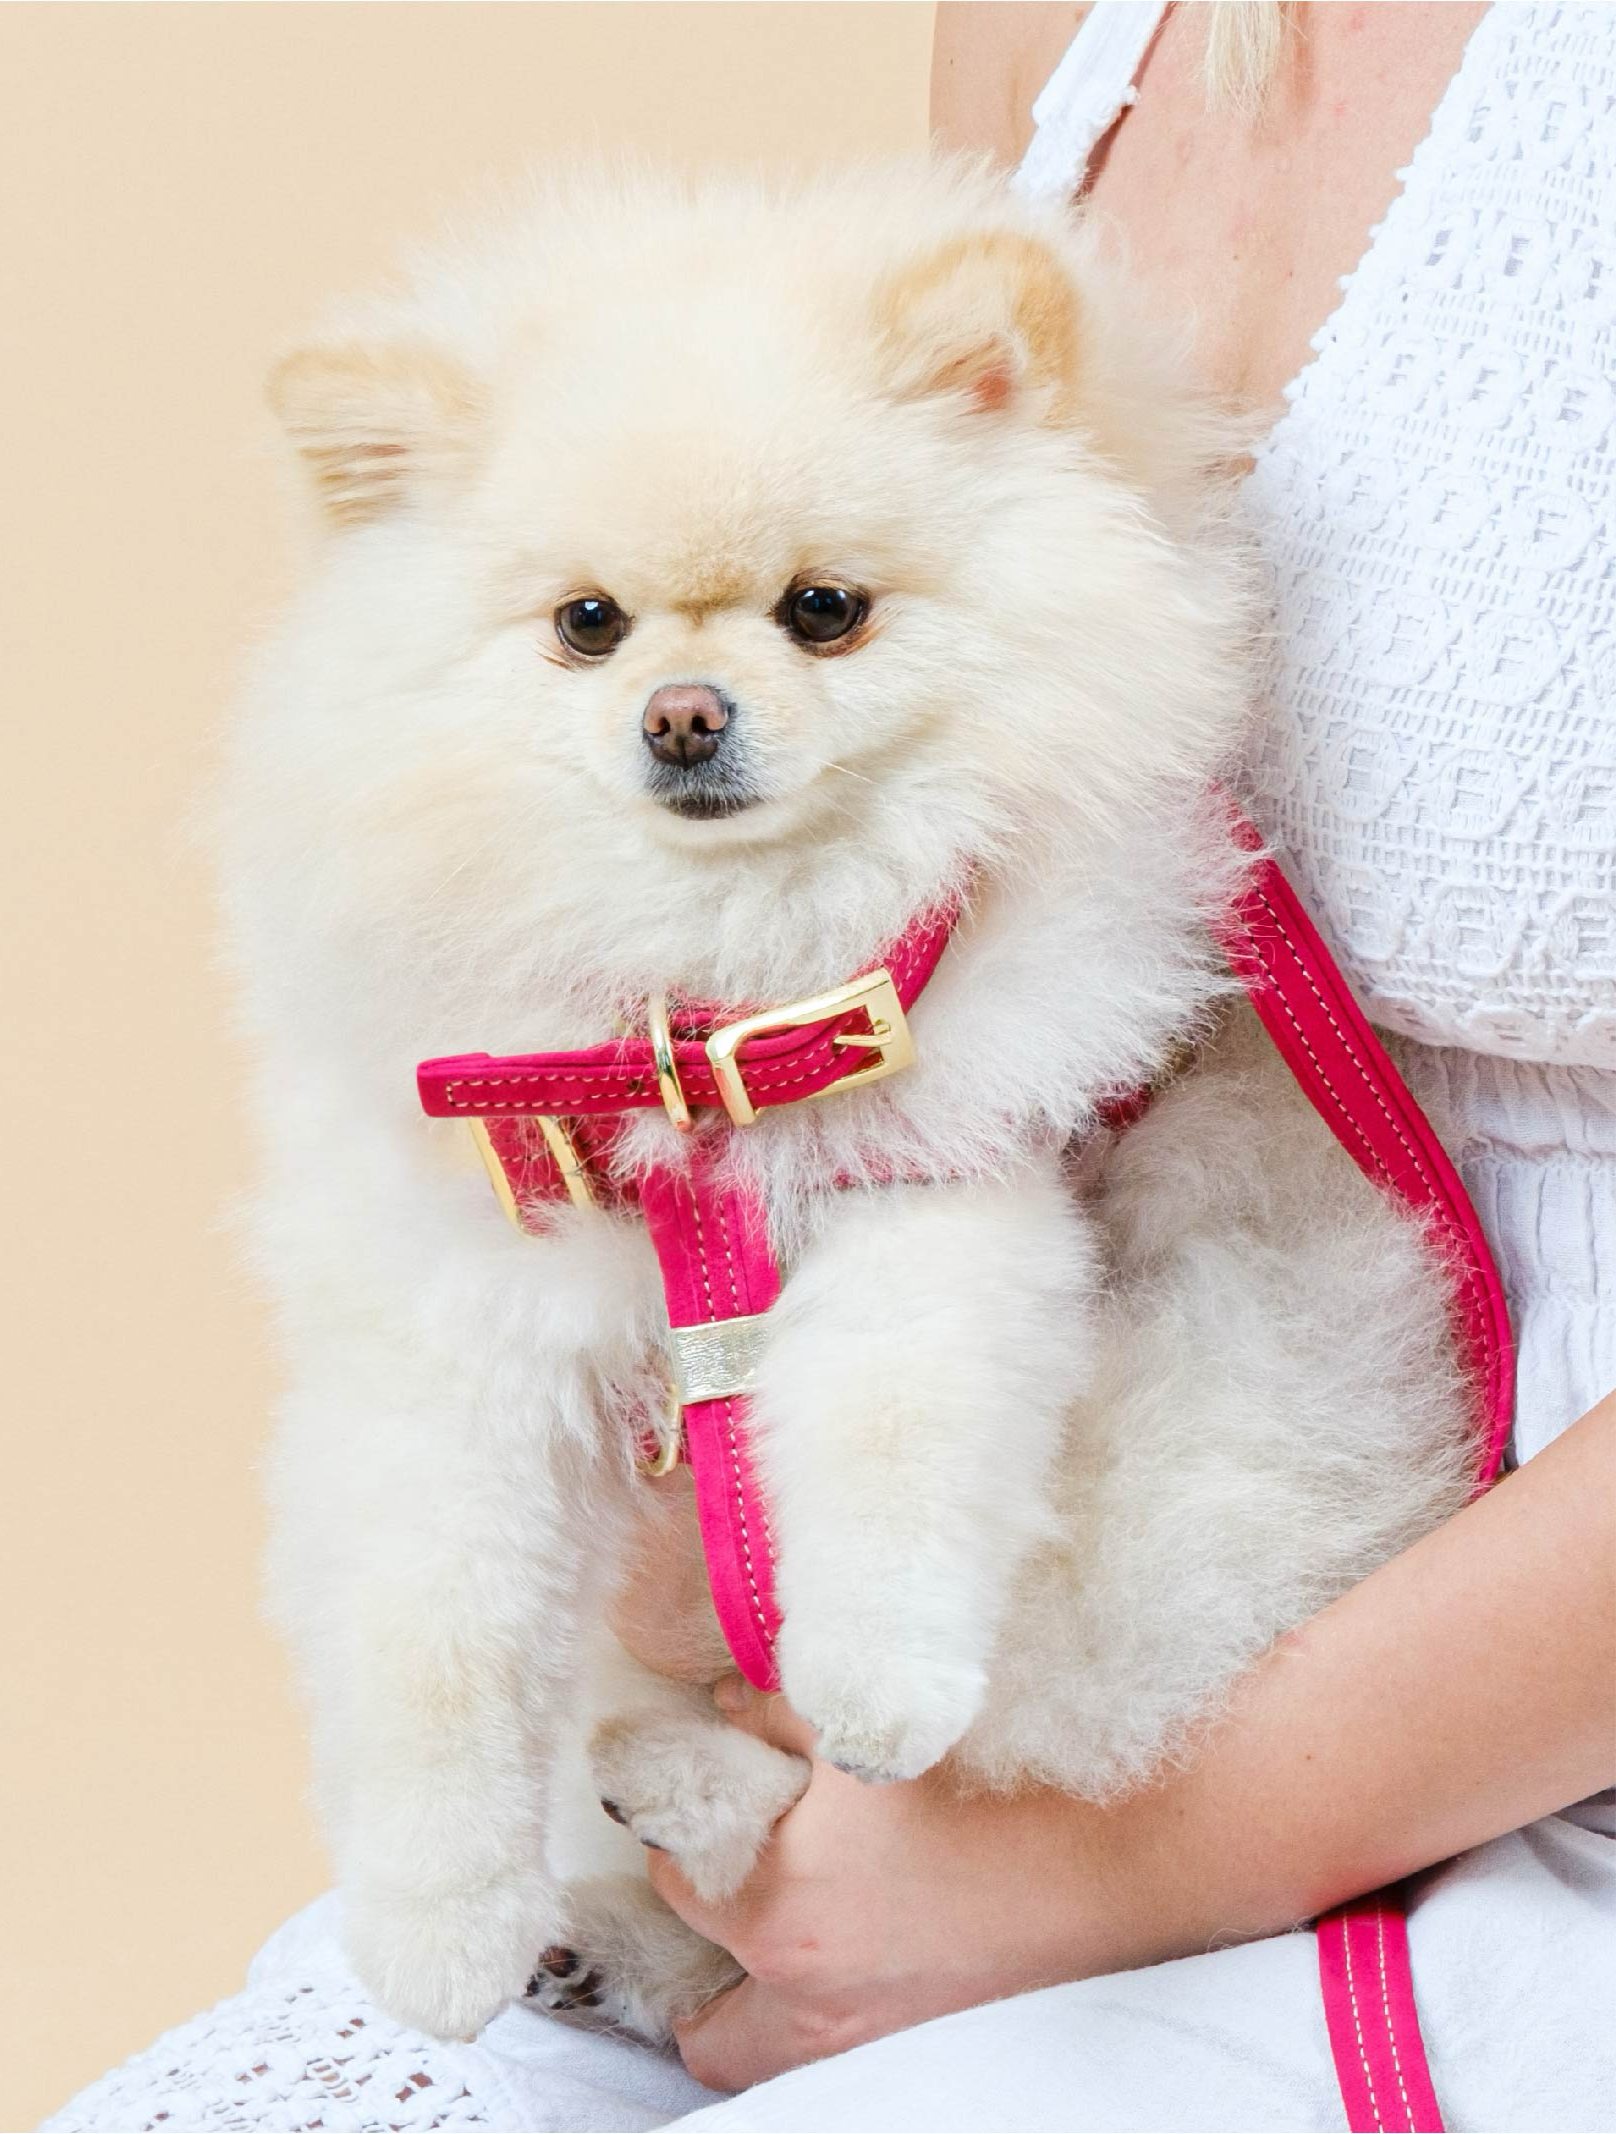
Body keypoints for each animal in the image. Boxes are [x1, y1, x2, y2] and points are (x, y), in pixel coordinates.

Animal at [227, 157, 1477, 2040]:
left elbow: (895, 1446)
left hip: (1213, 1434)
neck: (709, 1017)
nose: (685, 713)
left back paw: (681, 1800)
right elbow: (429, 1629)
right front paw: (437, 1929)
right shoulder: (459, 1312)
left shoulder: (939, 1189)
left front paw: (876, 1677)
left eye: (826, 606)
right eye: (586, 623)